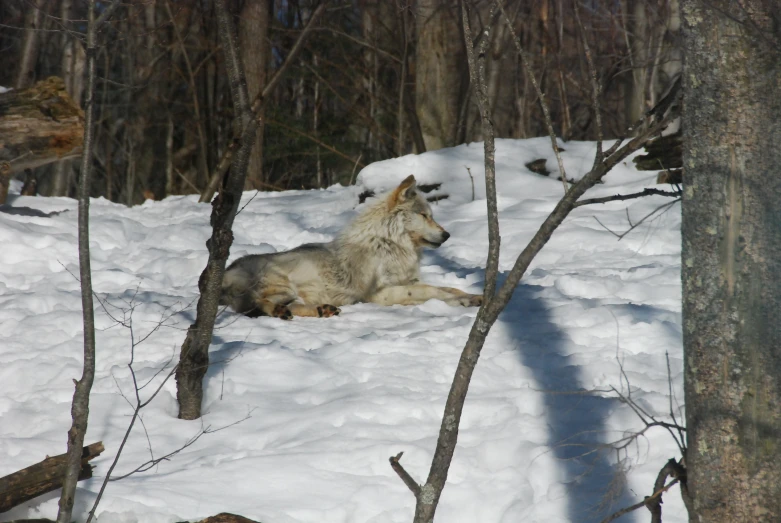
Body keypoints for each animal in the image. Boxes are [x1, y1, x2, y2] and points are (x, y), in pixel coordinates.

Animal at [219, 175, 484, 320]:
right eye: (425, 215)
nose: (447, 235)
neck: (390, 245)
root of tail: (225, 273)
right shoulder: (378, 294)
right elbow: (433, 291)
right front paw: (459, 301)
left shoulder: (409, 282)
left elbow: (449, 288)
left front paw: (472, 298)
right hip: (283, 286)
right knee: (258, 305)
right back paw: (281, 312)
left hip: (291, 294)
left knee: (288, 306)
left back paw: (323, 310)